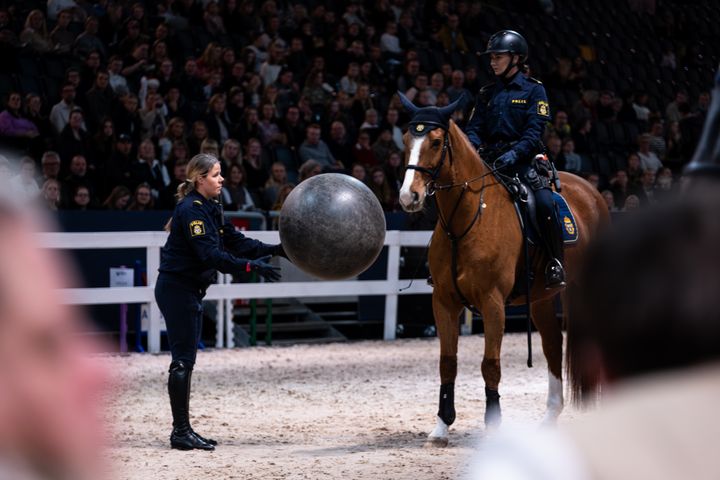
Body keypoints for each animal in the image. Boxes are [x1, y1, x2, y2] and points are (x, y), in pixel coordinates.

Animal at [397, 95, 609, 446]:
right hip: (542, 299)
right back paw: (549, 418)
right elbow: (447, 363)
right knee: (553, 345)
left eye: (436, 142)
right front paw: (442, 426)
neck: (467, 219)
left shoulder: (492, 302)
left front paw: (494, 424)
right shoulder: (443, 301)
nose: (408, 196)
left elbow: (490, 364)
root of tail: (590, 192)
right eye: (405, 140)